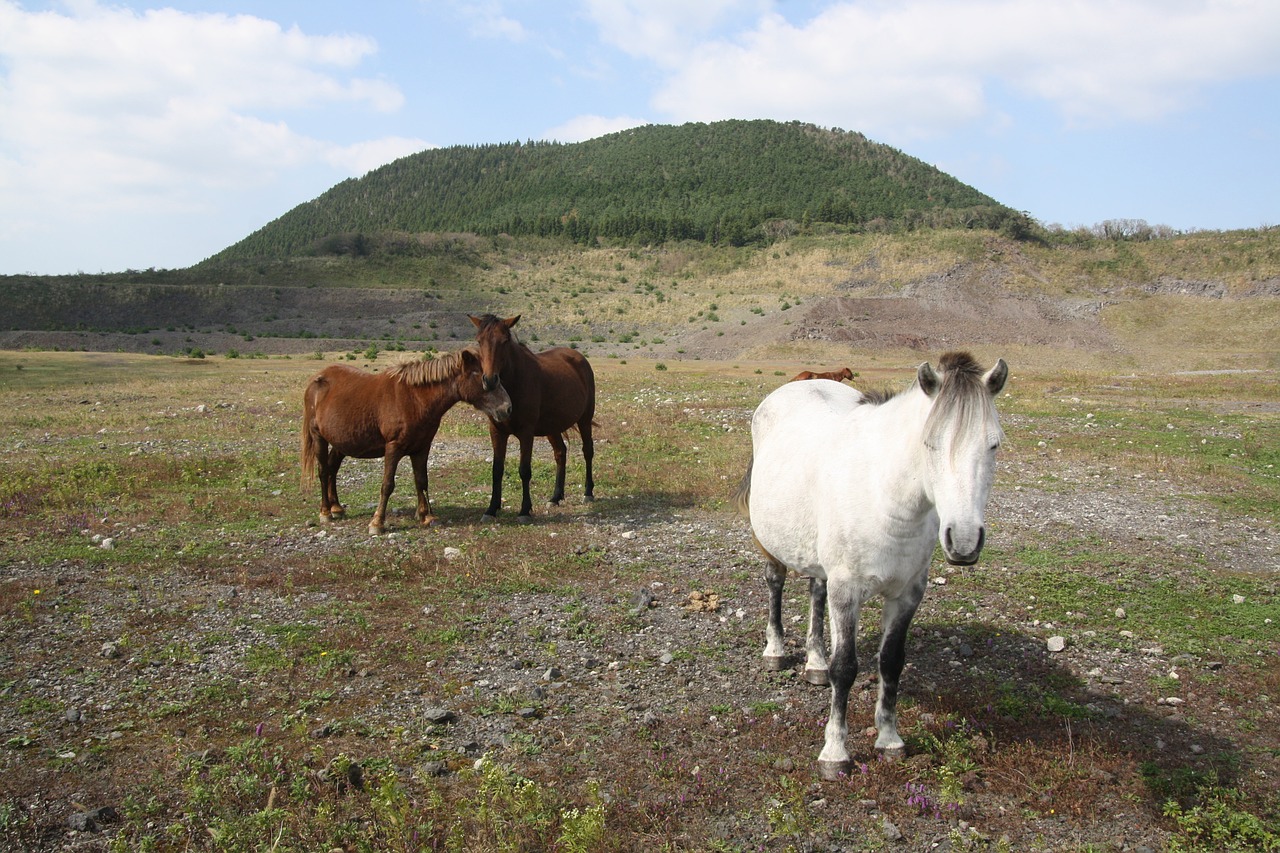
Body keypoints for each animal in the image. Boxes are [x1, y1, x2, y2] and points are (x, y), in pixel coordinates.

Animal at [302, 345, 512, 532]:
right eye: (483, 377)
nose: (507, 408)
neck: (414, 399)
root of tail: (316, 379)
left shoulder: (422, 448)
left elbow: (421, 480)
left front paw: (427, 516)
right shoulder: (393, 448)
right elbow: (387, 485)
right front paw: (377, 523)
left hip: (342, 443)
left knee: (332, 468)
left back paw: (336, 508)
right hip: (319, 437)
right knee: (323, 471)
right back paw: (326, 512)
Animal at [473, 313, 596, 517]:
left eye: (505, 341)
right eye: (479, 341)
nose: (490, 381)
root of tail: (579, 358)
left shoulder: (526, 432)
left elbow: (524, 470)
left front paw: (524, 510)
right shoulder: (497, 431)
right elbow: (497, 469)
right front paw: (491, 509)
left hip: (584, 420)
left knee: (587, 451)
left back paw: (588, 493)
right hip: (552, 427)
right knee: (560, 452)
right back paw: (555, 497)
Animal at [737, 350, 1003, 778]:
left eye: (993, 445)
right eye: (929, 443)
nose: (963, 540)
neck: (885, 496)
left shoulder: (908, 593)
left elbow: (892, 662)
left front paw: (889, 740)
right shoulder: (848, 590)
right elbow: (845, 668)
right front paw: (835, 753)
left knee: (815, 590)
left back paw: (814, 661)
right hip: (771, 544)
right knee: (775, 582)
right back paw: (776, 651)